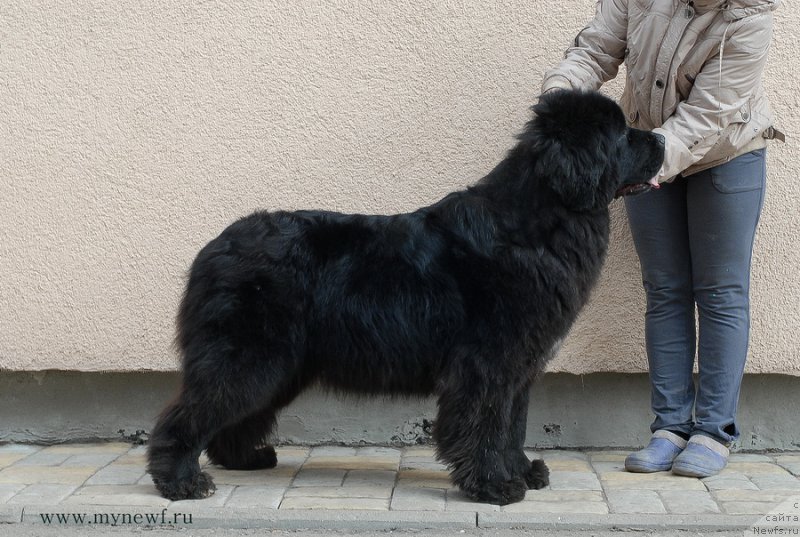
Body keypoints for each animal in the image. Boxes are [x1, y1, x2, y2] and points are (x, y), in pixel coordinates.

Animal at [148, 90, 664, 504]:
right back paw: (180, 481)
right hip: (248, 357)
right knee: (186, 415)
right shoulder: (488, 364)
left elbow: (512, 425)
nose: (660, 139)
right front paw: (494, 485)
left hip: (280, 366)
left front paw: (521, 471)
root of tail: (212, 248)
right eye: (622, 134)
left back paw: (243, 458)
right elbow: (485, 424)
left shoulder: (520, 366)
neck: (534, 224)